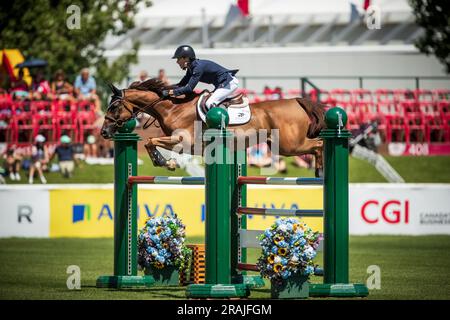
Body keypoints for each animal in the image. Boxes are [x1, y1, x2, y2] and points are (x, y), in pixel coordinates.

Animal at [100, 78, 326, 176]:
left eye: (114, 107)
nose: (104, 132)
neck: (172, 108)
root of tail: (296, 100)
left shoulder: (183, 141)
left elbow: (150, 140)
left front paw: (165, 162)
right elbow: (151, 142)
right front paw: (167, 162)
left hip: (290, 145)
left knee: (319, 144)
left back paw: (321, 171)